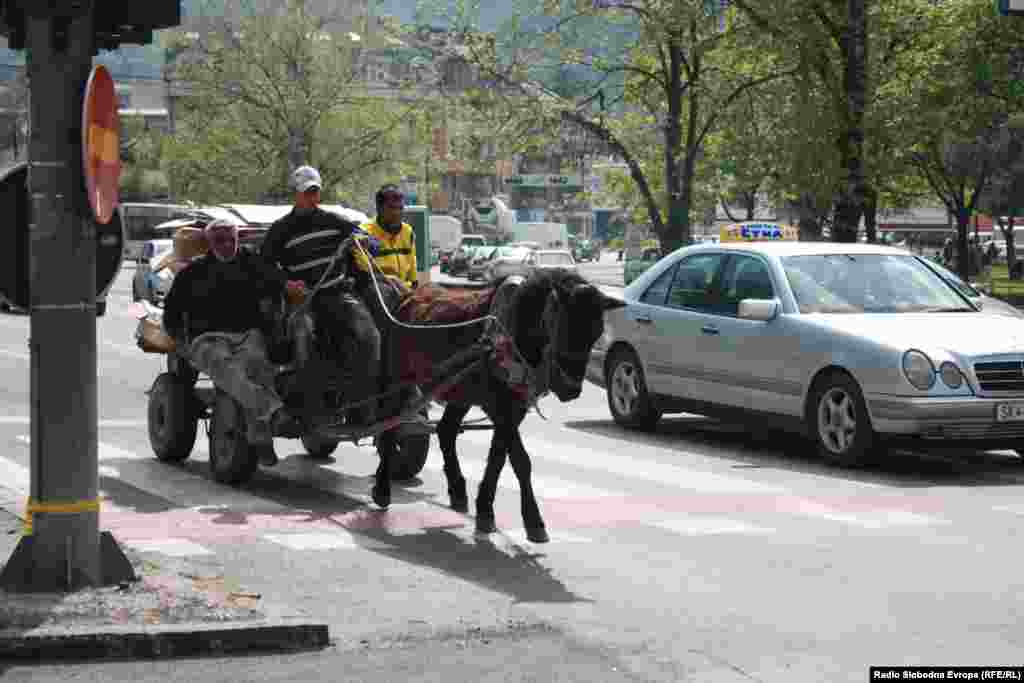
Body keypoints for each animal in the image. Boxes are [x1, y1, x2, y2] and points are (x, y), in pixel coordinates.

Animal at [368, 266, 622, 544]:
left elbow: (499, 458)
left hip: (459, 390)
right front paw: (533, 520)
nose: (571, 389)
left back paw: (457, 489)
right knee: (390, 428)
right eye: (565, 327)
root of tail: (407, 299)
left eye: (597, 333)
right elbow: (520, 460)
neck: (514, 333)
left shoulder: (514, 409)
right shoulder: (499, 408)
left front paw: (486, 510)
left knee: (446, 430)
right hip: (397, 380)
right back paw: (382, 488)